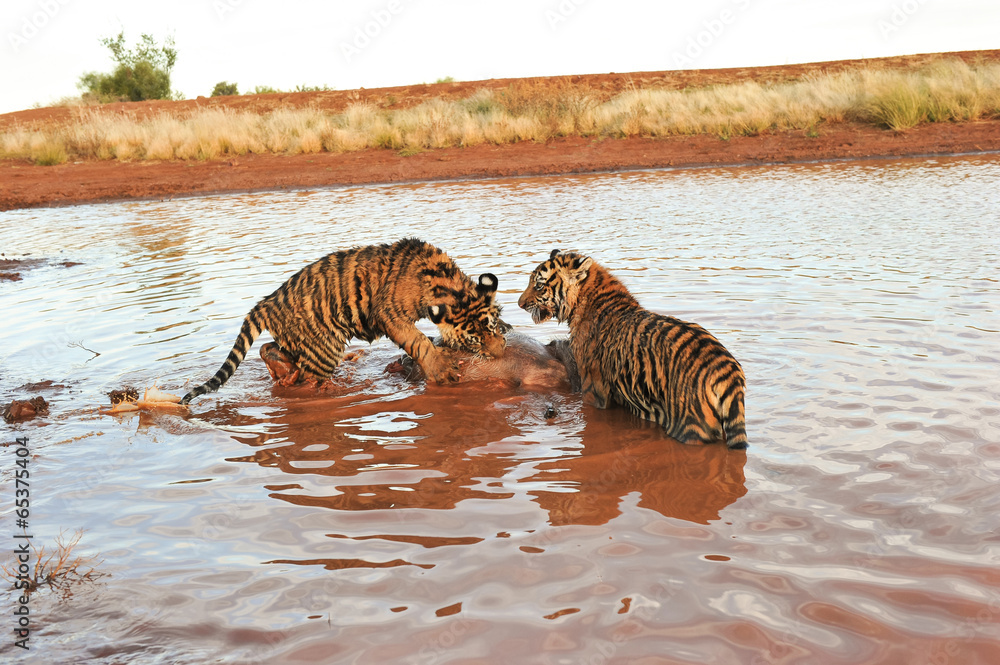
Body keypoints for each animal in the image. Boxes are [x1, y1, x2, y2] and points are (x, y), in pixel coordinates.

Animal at [180, 238, 508, 404]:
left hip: (296, 341)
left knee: (269, 351)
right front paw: (442, 369)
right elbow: (419, 342)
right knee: (307, 381)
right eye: (473, 340)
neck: (447, 283)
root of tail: (266, 302)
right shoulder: (390, 314)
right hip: (323, 348)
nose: (501, 353)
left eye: (491, 328)